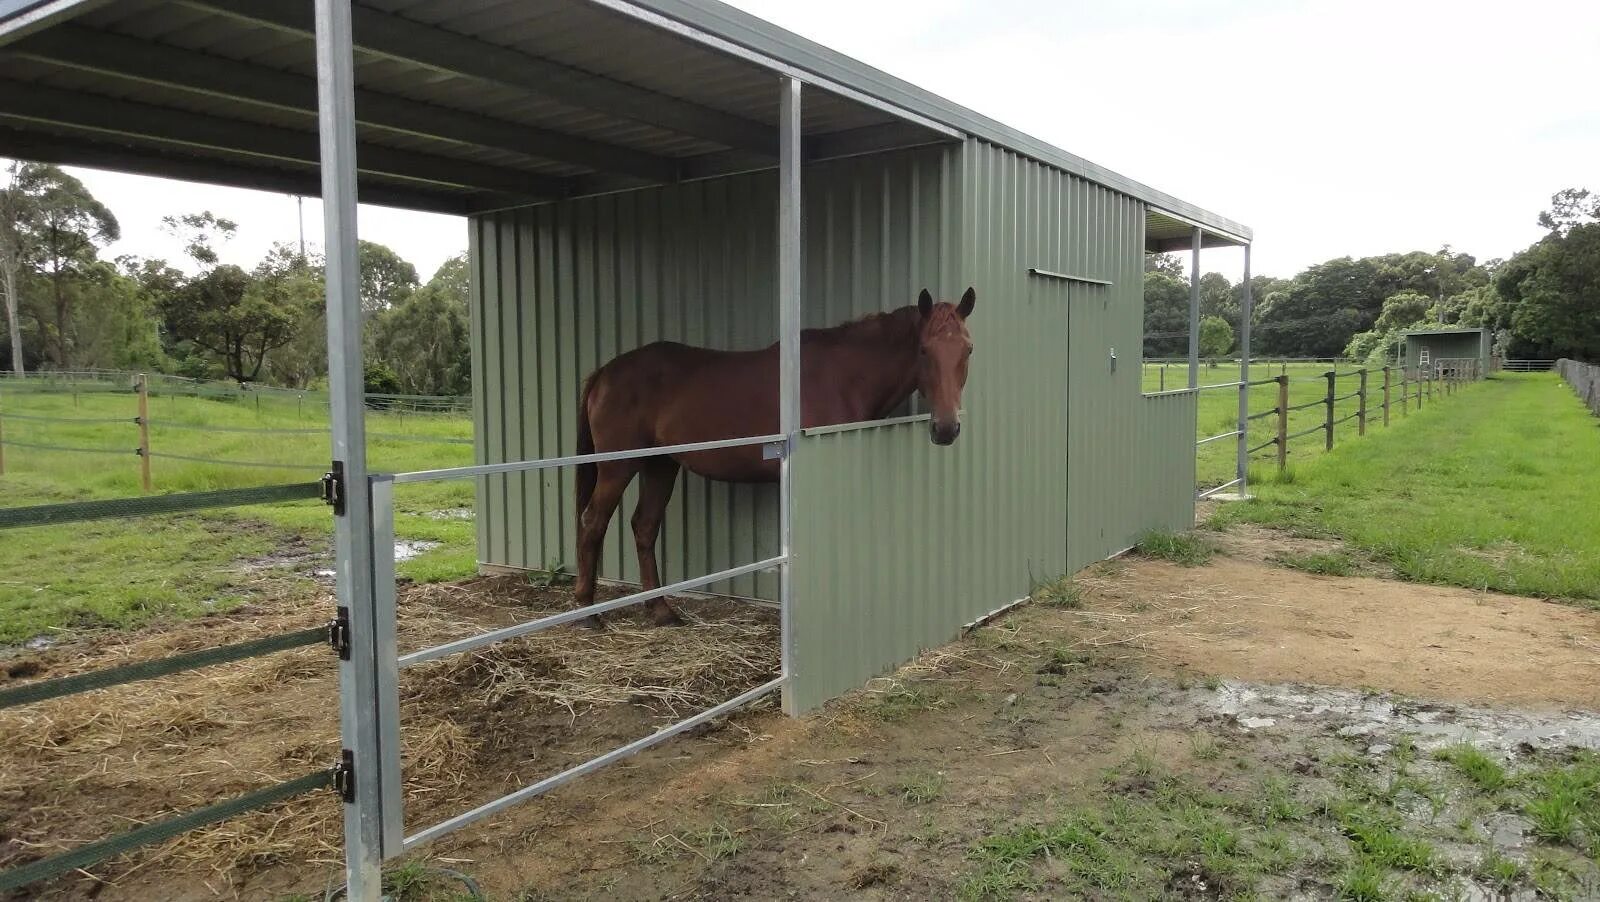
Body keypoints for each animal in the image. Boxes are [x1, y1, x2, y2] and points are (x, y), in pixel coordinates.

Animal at [576, 289, 972, 626]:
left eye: (967, 349)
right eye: (924, 350)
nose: (946, 428)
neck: (843, 378)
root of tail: (604, 373)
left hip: (661, 465)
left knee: (644, 526)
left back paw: (661, 611)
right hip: (617, 466)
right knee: (593, 522)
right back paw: (586, 612)